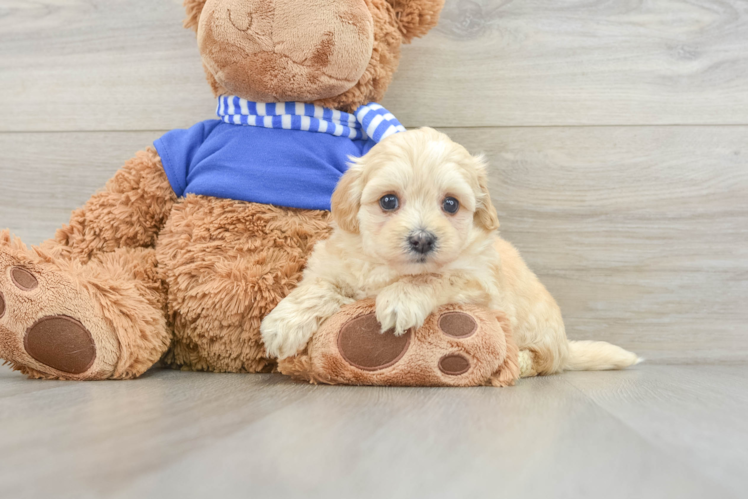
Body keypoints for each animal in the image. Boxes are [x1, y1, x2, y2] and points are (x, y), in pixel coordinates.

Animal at [260, 127, 640, 376]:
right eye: (388, 201)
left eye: (451, 204)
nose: (422, 239)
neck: (394, 269)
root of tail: (565, 347)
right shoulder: (336, 264)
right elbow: (319, 286)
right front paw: (284, 323)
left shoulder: (478, 283)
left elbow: (437, 276)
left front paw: (400, 299)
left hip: (540, 338)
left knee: (541, 362)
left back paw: (519, 362)